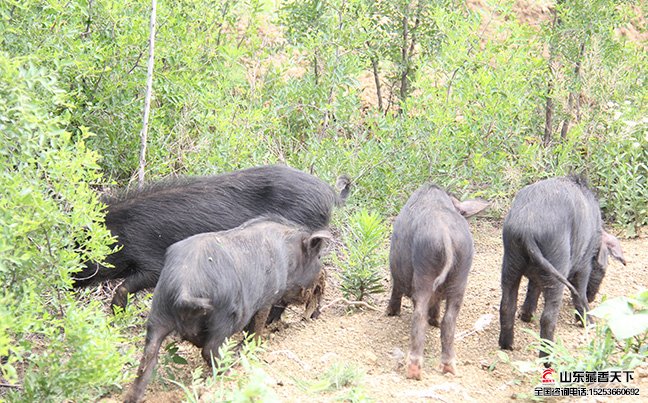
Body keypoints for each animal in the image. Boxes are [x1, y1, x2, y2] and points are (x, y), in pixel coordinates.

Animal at [73, 164, 350, 310]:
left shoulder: (152, 258)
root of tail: (328, 192)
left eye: (81, 251)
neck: (122, 230)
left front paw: (115, 310)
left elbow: (130, 283)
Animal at [123, 218, 330, 403]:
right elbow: (256, 327)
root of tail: (185, 287)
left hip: (159, 309)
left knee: (148, 356)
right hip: (222, 316)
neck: (290, 257)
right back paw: (230, 371)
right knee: (210, 349)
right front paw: (252, 347)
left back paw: (133, 398)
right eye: (318, 257)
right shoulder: (267, 297)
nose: (323, 276)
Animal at [388, 185, 488, 380]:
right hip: (460, 276)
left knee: (419, 314)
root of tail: (445, 234)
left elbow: (396, 289)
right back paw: (449, 368)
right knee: (449, 320)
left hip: (424, 272)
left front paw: (390, 313)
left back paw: (414, 372)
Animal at [498, 177, 624, 360]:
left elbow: (533, 288)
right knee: (548, 317)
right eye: (604, 268)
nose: (593, 297)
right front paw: (589, 324)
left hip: (510, 263)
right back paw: (548, 357)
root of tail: (527, 230)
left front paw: (526, 317)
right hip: (558, 265)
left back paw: (507, 346)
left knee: (507, 305)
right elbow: (579, 291)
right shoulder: (584, 264)